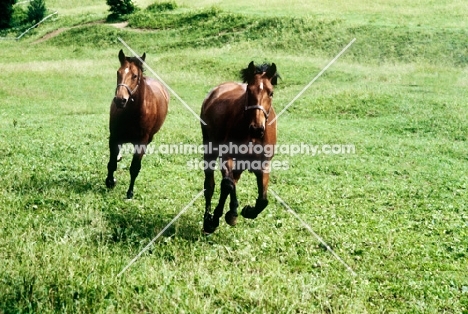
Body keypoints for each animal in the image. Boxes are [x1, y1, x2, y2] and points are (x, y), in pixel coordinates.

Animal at [105, 50, 169, 200]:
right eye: (118, 72)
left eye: (134, 76)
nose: (120, 100)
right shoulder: (114, 137)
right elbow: (112, 164)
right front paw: (110, 181)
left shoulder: (141, 142)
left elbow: (134, 168)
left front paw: (130, 192)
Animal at [200, 61, 278, 233]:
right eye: (249, 90)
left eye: (271, 93)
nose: (256, 128)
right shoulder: (227, 155)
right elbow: (227, 184)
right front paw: (231, 212)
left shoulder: (263, 164)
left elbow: (263, 200)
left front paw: (247, 211)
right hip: (209, 147)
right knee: (211, 184)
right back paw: (209, 219)